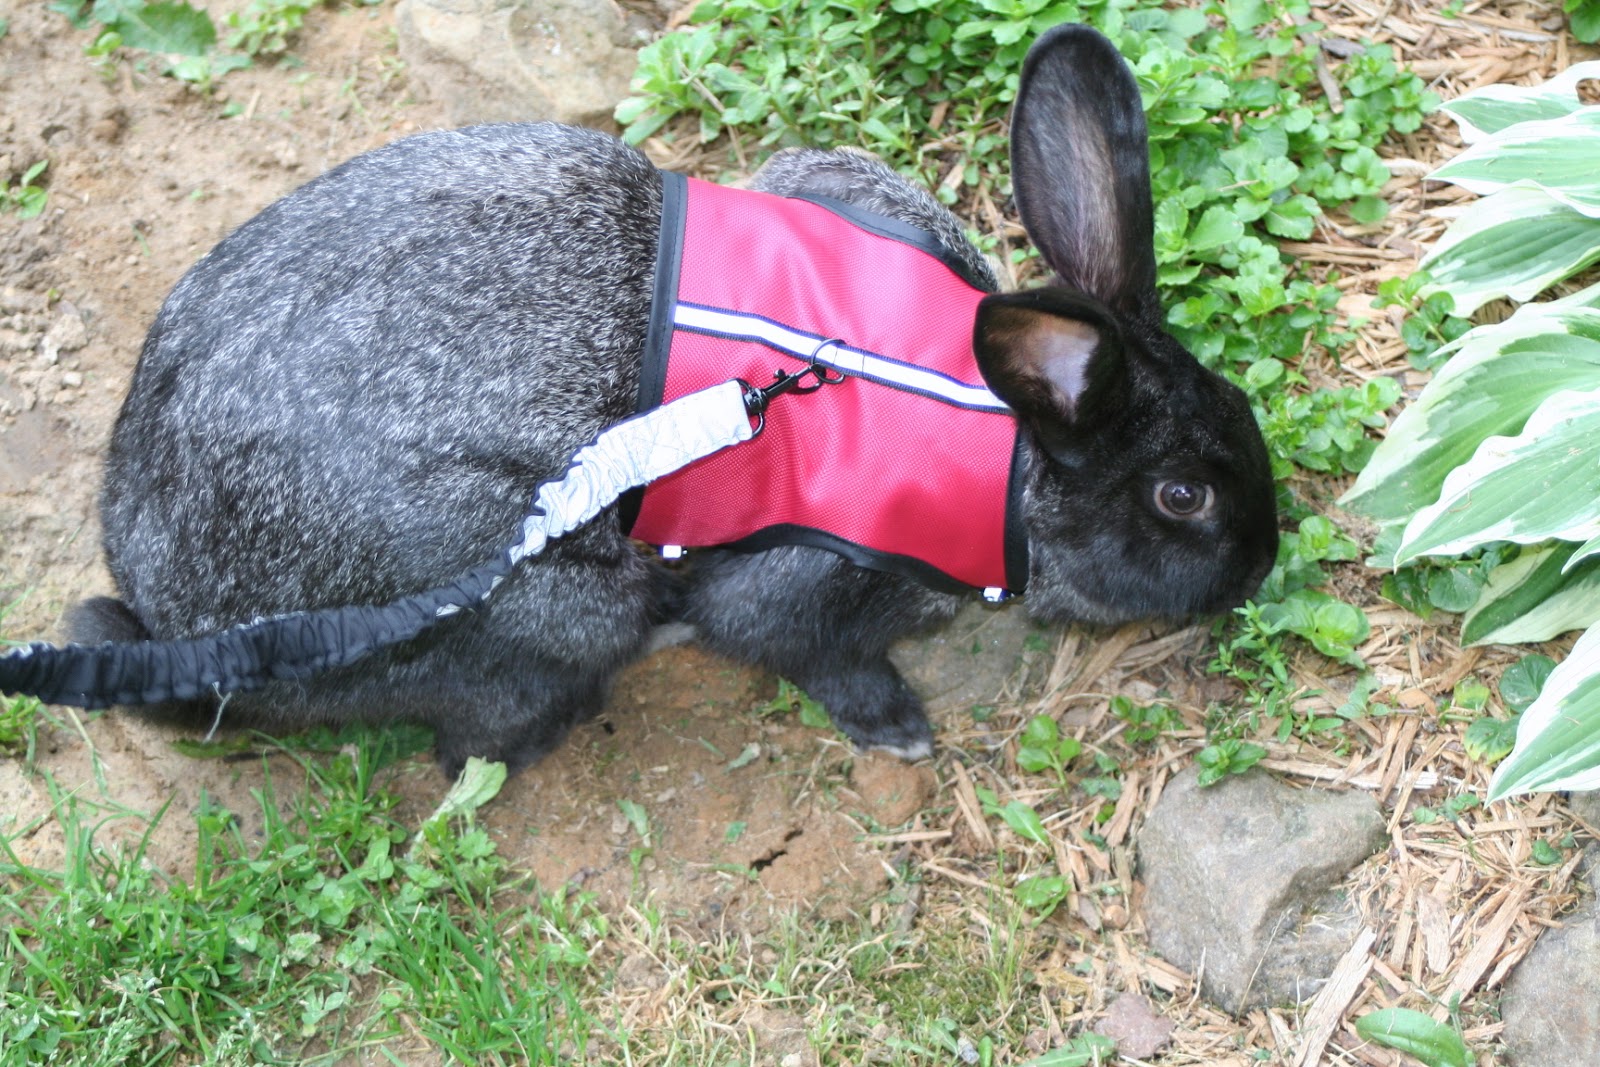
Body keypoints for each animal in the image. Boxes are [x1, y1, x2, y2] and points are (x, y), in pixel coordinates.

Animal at [63, 24, 1278, 778]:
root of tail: (187, 628)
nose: (1258, 568)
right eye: (1180, 497)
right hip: (542, 584)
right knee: (475, 737)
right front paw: (896, 728)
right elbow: (792, 646)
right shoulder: (817, 577)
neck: (1001, 438)